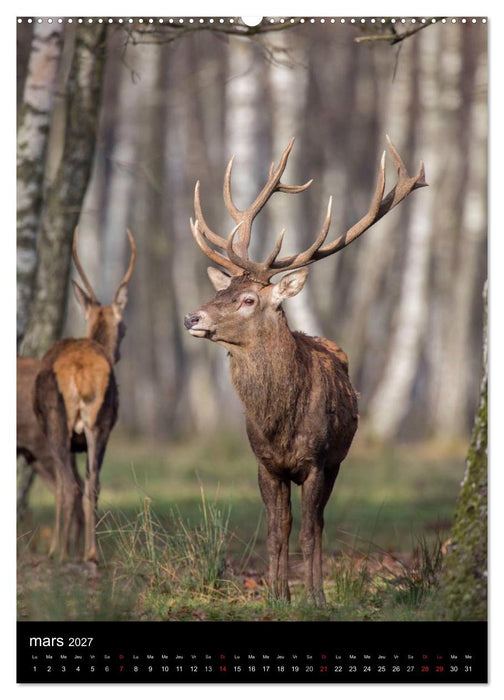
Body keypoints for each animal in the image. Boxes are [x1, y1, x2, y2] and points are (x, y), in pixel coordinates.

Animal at [33, 229, 136, 564]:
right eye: (124, 327)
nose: (118, 353)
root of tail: (79, 374)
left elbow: (65, 486)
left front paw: (61, 547)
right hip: (98, 423)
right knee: (90, 484)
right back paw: (89, 553)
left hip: (58, 422)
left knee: (68, 486)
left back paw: (61, 552)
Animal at [184, 137, 426, 605]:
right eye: (221, 290)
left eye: (248, 300)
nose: (192, 317)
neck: (280, 422)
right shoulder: (265, 463)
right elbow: (278, 530)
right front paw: (277, 595)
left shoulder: (315, 460)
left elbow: (310, 532)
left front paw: (314, 597)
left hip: (337, 461)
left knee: (322, 522)